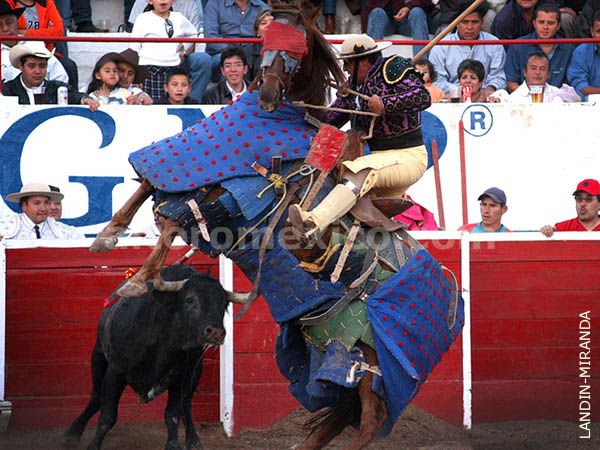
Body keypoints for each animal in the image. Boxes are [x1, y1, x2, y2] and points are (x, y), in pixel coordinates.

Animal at [64, 266, 243, 448]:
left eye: (224, 304)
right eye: (189, 300)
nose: (216, 332)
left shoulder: (179, 375)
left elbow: (172, 414)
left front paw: (174, 445)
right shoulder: (115, 371)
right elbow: (108, 416)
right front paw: (92, 444)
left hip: (195, 371)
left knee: (186, 404)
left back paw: (193, 440)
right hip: (98, 355)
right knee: (96, 396)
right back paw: (73, 433)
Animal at [89, 2, 464, 446]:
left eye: (298, 43)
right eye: (266, 36)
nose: (268, 93)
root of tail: (453, 304)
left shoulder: (235, 200)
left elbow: (169, 221)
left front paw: (139, 279)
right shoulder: (200, 186)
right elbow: (151, 187)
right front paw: (109, 236)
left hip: (376, 360)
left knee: (370, 420)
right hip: (338, 351)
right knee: (341, 411)